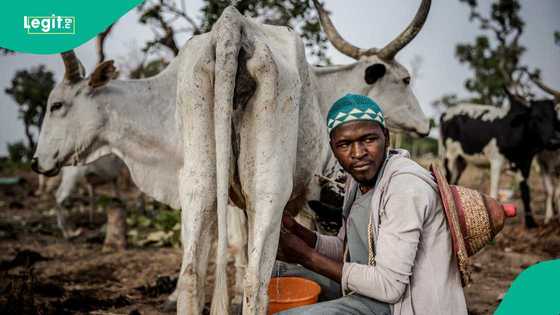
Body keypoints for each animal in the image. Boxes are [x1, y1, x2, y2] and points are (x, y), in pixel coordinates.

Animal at [32, 1, 430, 314]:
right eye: (406, 80)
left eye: (56, 105)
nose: (38, 162)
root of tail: (231, 26)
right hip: (264, 189)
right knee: (253, 281)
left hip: (202, 183)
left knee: (193, 275)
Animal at [440, 92, 560, 230]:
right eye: (536, 117)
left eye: (555, 118)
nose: (554, 142)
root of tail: (447, 112)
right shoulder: (496, 162)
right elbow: (494, 192)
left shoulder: (525, 163)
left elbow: (525, 192)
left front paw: (530, 223)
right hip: (450, 157)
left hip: (461, 161)